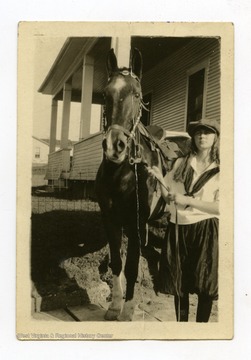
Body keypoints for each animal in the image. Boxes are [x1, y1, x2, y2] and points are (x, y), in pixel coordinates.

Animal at [95, 47, 176, 320]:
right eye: (105, 94)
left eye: (137, 94)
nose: (115, 145)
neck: (123, 174)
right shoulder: (110, 219)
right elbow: (117, 263)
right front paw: (114, 306)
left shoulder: (136, 223)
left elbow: (131, 266)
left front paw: (128, 309)